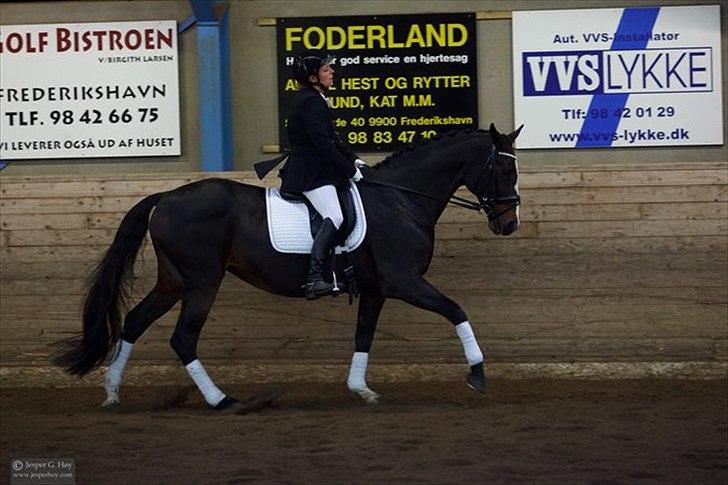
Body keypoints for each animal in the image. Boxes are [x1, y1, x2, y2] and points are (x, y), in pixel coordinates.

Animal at [55, 122, 524, 408]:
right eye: (504, 170)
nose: (510, 223)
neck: (402, 199)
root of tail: (166, 197)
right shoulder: (403, 281)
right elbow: (457, 310)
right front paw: (477, 373)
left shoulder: (376, 288)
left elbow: (364, 335)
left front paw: (361, 389)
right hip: (202, 282)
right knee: (183, 339)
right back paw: (222, 401)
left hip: (173, 281)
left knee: (134, 322)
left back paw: (112, 394)